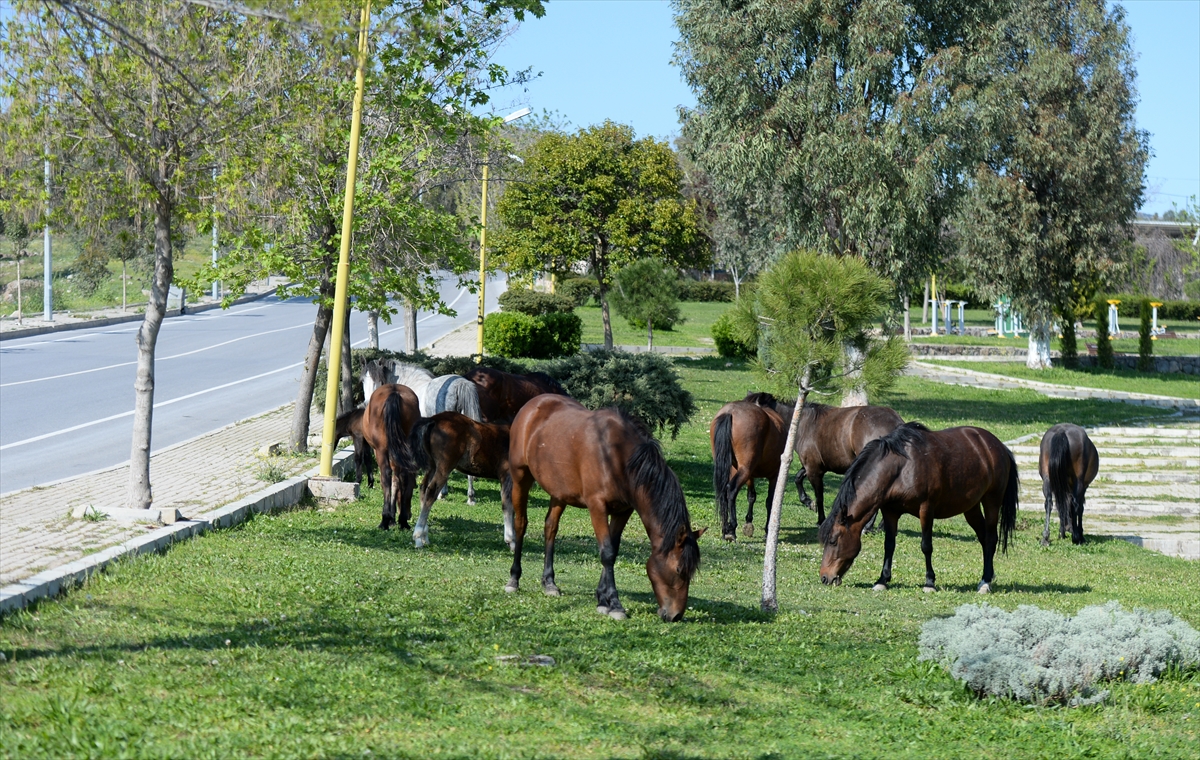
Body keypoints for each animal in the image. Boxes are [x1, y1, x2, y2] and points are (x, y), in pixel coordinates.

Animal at [357, 381, 420, 530]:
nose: (410, 514)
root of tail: (394, 392)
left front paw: (390, 517)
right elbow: (397, 481)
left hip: (381, 451)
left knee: (385, 475)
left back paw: (385, 520)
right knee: (405, 476)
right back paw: (403, 520)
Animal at [410, 413, 513, 547]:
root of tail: (434, 419)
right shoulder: (507, 475)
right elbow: (508, 505)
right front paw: (511, 541)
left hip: (432, 466)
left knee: (423, 488)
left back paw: (424, 537)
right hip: (444, 467)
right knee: (431, 492)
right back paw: (418, 537)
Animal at [506, 393, 700, 619]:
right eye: (678, 570)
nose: (675, 615)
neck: (617, 456)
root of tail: (533, 404)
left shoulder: (623, 510)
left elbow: (613, 549)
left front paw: (602, 600)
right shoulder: (597, 507)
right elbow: (607, 553)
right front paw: (615, 605)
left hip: (559, 492)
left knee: (550, 528)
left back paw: (549, 583)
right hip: (520, 478)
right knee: (521, 523)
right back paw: (513, 579)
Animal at [816, 420, 1012, 593]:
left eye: (833, 540)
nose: (825, 577)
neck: (901, 467)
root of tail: (998, 446)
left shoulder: (926, 510)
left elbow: (926, 546)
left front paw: (929, 582)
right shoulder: (890, 511)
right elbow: (889, 544)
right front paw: (882, 580)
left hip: (992, 502)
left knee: (991, 538)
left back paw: (985, 582)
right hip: (971, 508)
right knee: (984, 538)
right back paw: (987, 576)